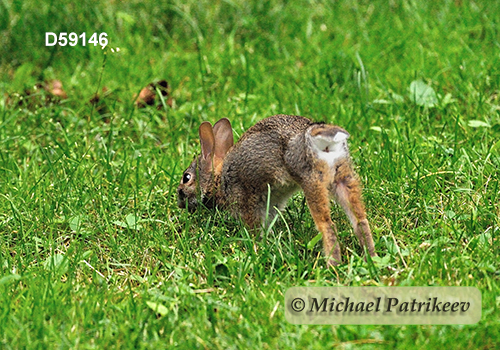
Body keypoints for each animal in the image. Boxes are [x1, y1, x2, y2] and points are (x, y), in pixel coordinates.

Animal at [176, 115, 376, 266]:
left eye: (186, 178)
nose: (179, 202)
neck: (218, 180)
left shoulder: (244, 197)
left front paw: (255, 241)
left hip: (310, 178)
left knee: (327, 225)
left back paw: (332, 266)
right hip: (343, 175)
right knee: (360, 220)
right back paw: (371, 257)